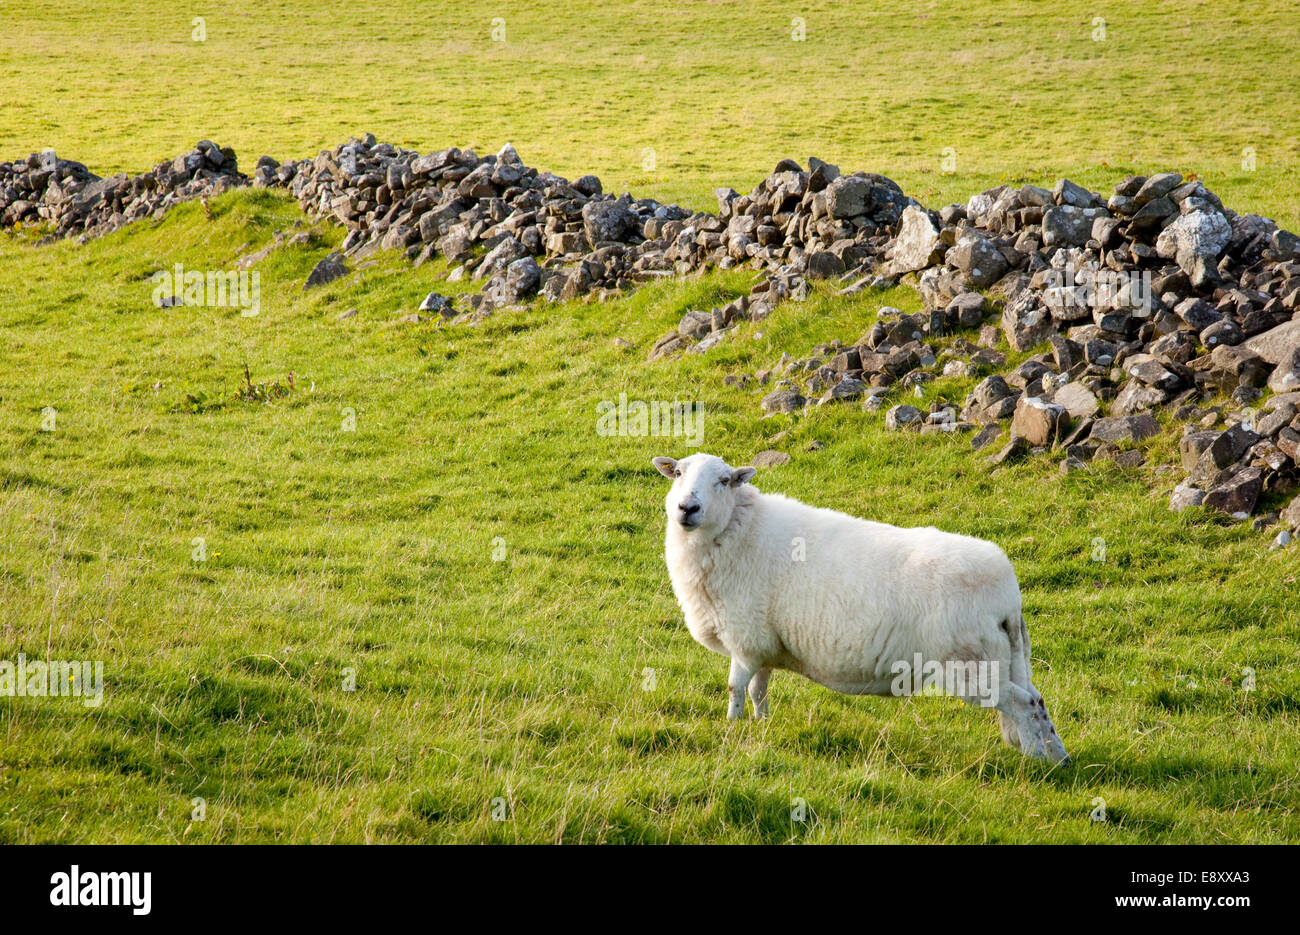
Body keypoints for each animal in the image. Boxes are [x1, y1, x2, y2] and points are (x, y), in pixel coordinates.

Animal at [650, 452, 1066, 769]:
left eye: (723, 480)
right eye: (679, 473)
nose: (687, 508)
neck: (738, 531)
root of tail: (1008, 593)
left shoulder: (744, 635)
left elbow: (736, 688)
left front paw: (732, 728)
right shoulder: (762, 642)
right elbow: (758, 690)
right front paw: (760, 725)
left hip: (969, 666)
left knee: (1023, 703)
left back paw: (1035, 761)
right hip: (1004, 658)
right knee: (1038, 700)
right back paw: (1058, 757)